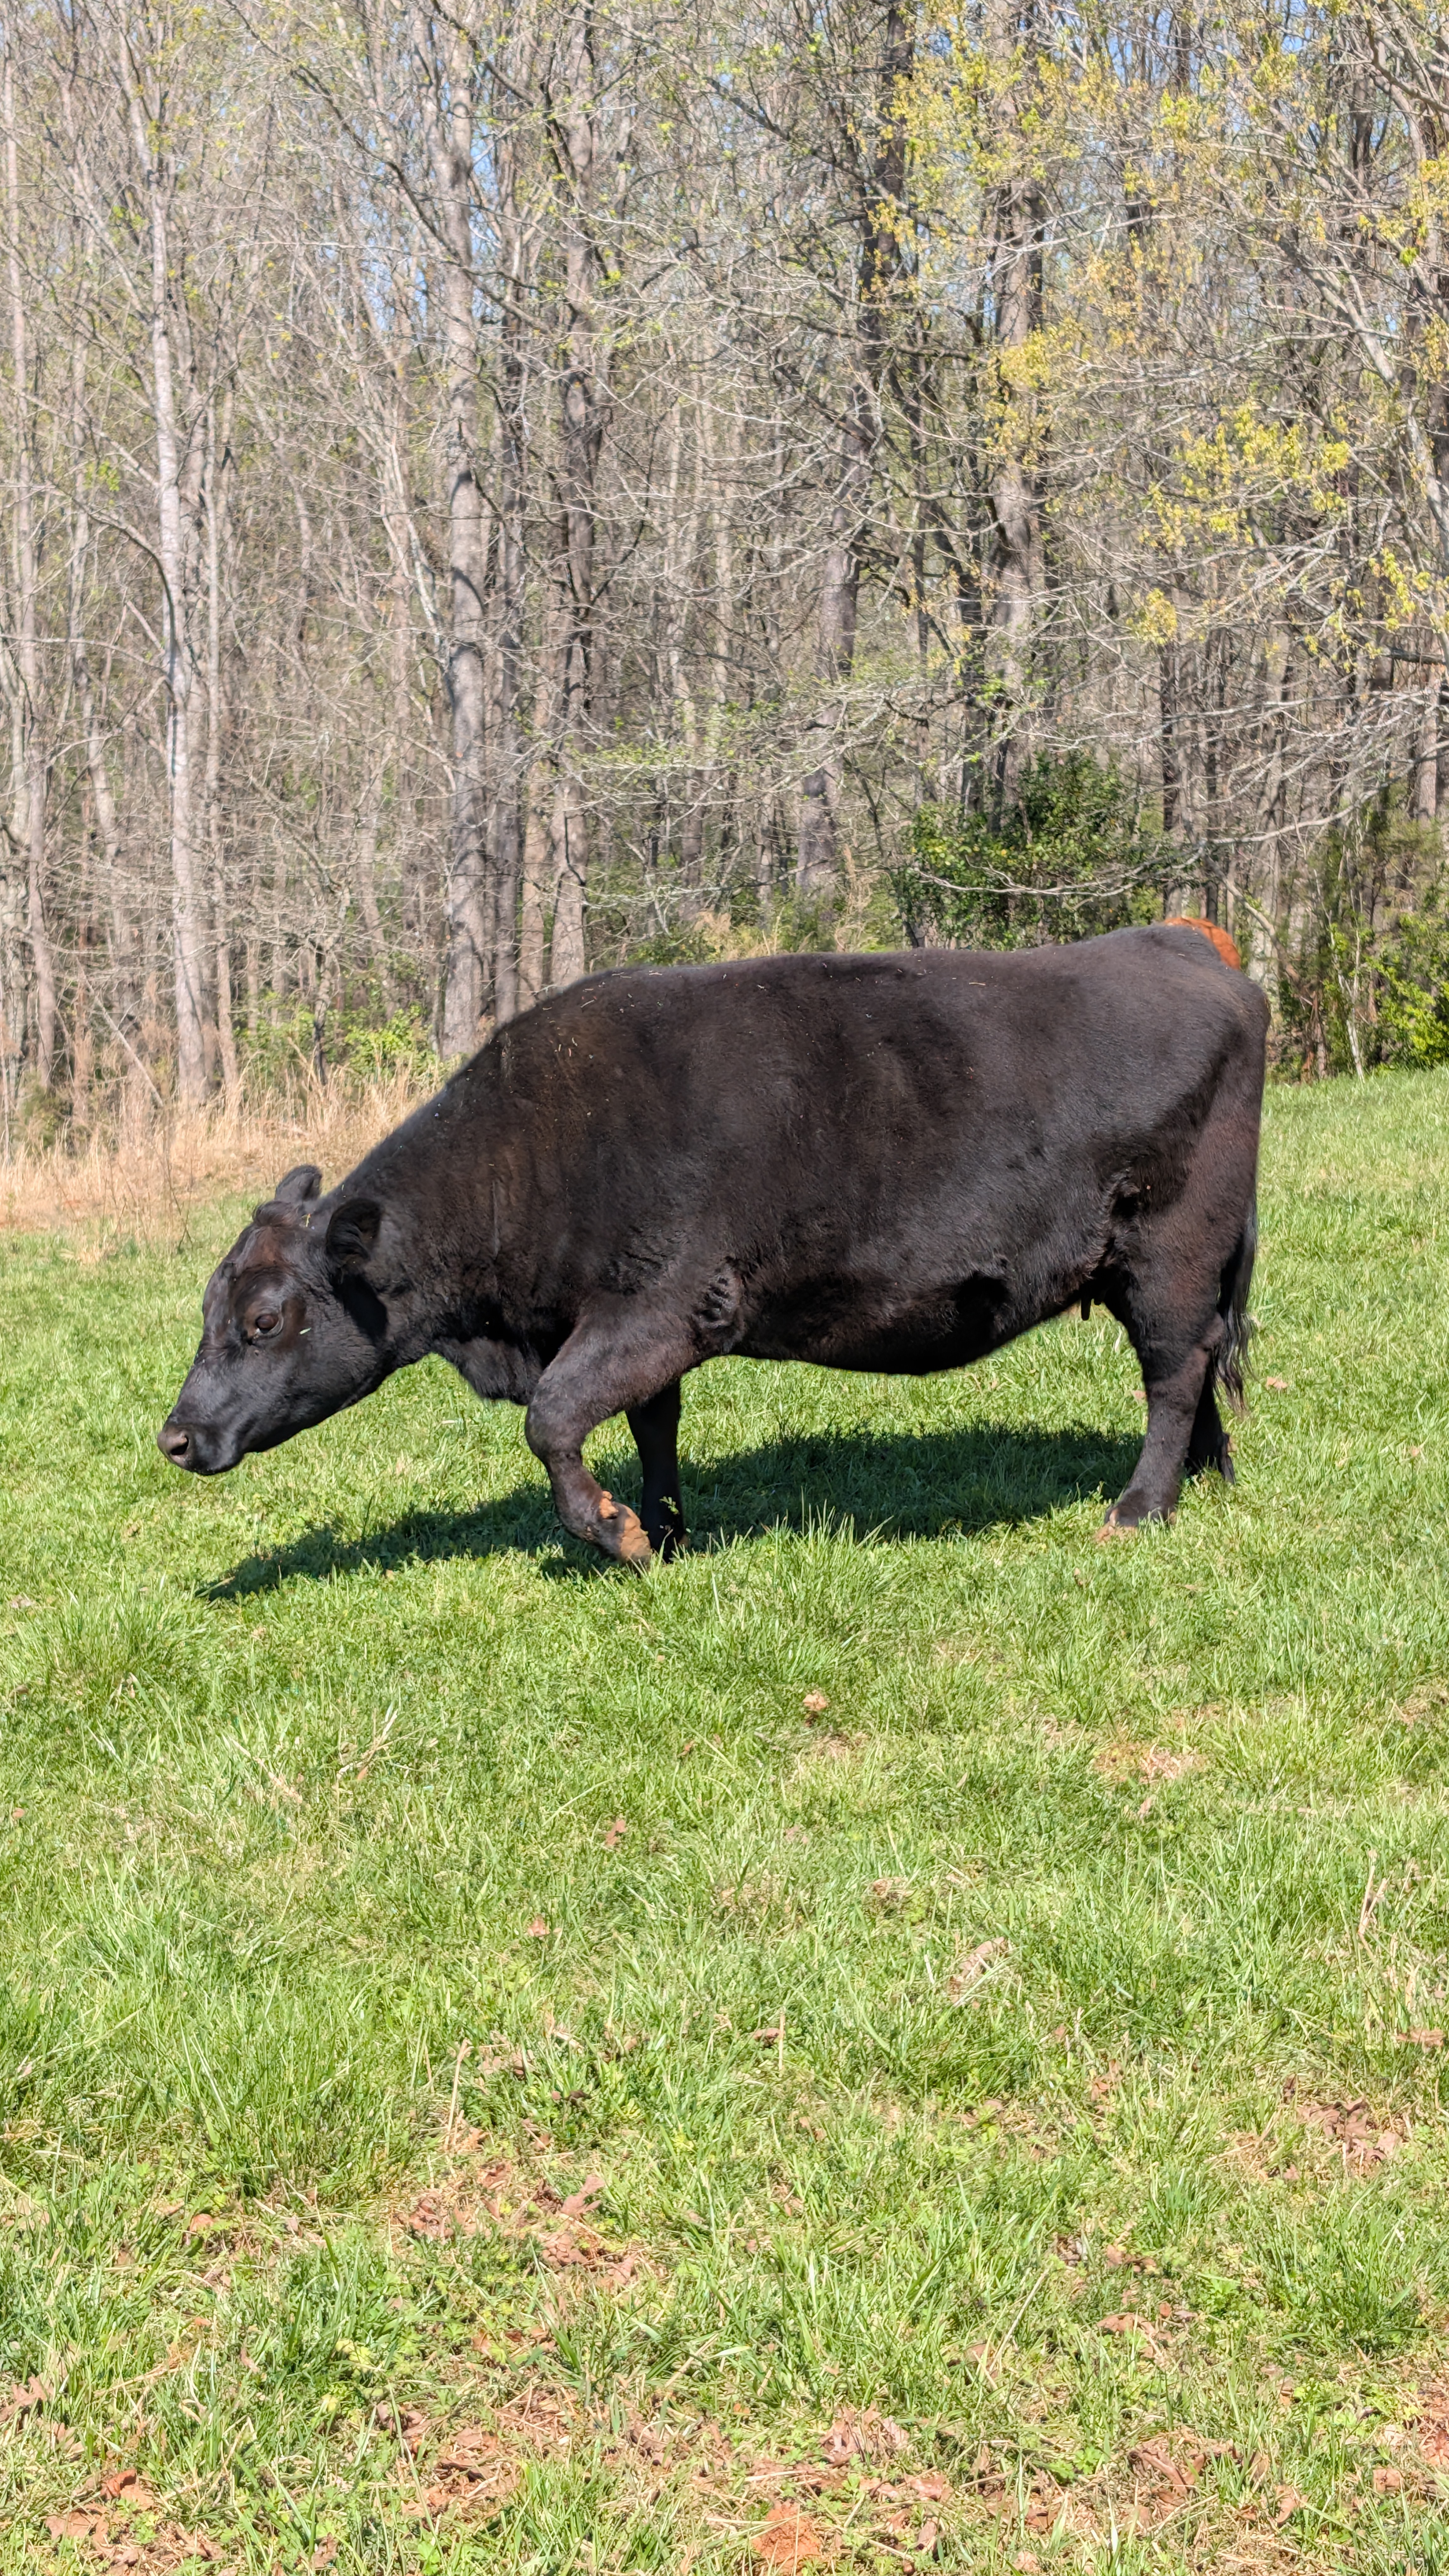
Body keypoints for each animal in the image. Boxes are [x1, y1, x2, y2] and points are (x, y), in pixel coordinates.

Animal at [158, 923, 1268, 1565]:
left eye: (264, 1320)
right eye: (209, 1307)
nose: (173, 1437)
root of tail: (1183, 946)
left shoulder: (657, 1307)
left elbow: (554, 1419)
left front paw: (617, 1535)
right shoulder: (633, 1331)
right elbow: (649, 1425)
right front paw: (666, 1527)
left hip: (1168, 1252)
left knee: (1173, 1371)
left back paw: (1138, 1508)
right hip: (1147, 1270)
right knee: (1199, 1363)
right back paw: (1206, 1478)